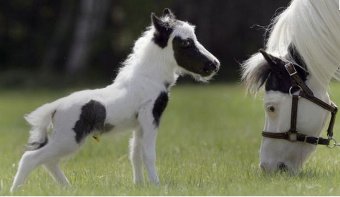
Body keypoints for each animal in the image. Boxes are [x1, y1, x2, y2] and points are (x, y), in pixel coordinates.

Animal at [10, 8, 219, 192]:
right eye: (185, 43)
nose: (214, 64)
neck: (148, 77)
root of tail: (55, 107)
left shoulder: (139, 124)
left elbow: (135, 154)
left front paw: (139, 186)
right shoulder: (150, 117)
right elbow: (148, 154)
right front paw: (157, 186)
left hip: (65, 140)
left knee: (49, 162)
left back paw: (69, 189)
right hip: (68, 139)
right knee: (30, 158)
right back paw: (16, 190)